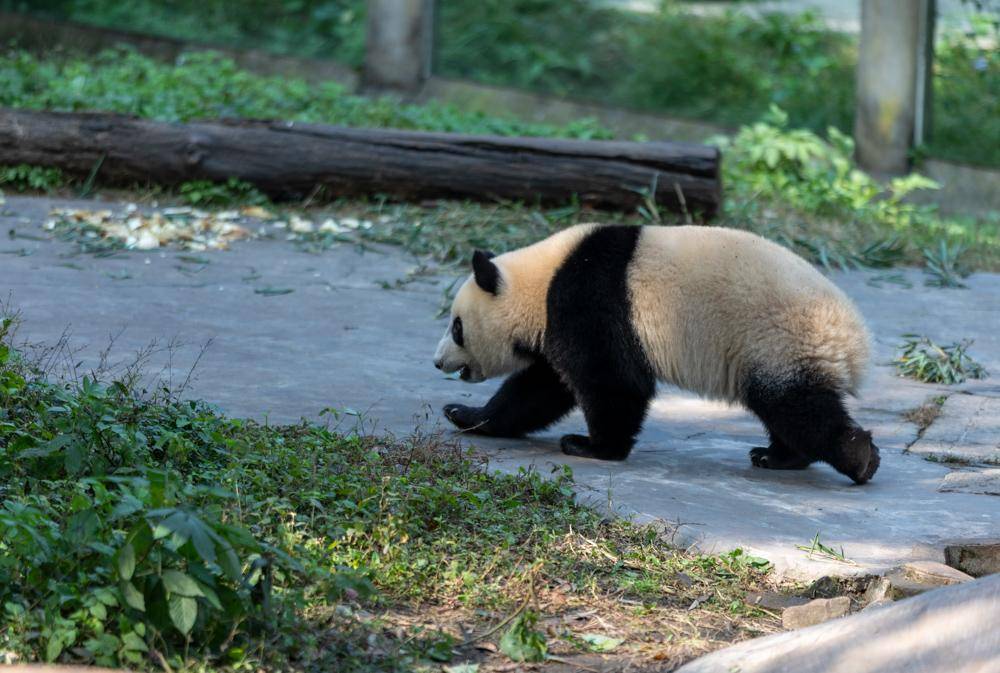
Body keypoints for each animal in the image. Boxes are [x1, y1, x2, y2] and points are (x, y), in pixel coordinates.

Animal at [434, 224, 880, 484]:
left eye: (457, 327)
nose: (438, 362)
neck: (541, 281)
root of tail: (854, 341)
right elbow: (541, 388)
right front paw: (465, 414)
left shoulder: (591, 300)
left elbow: (613, 382)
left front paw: (591, 446)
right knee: (783, 409)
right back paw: (778, 456)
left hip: (779, 340)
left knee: (796, 406)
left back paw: (858, 458)